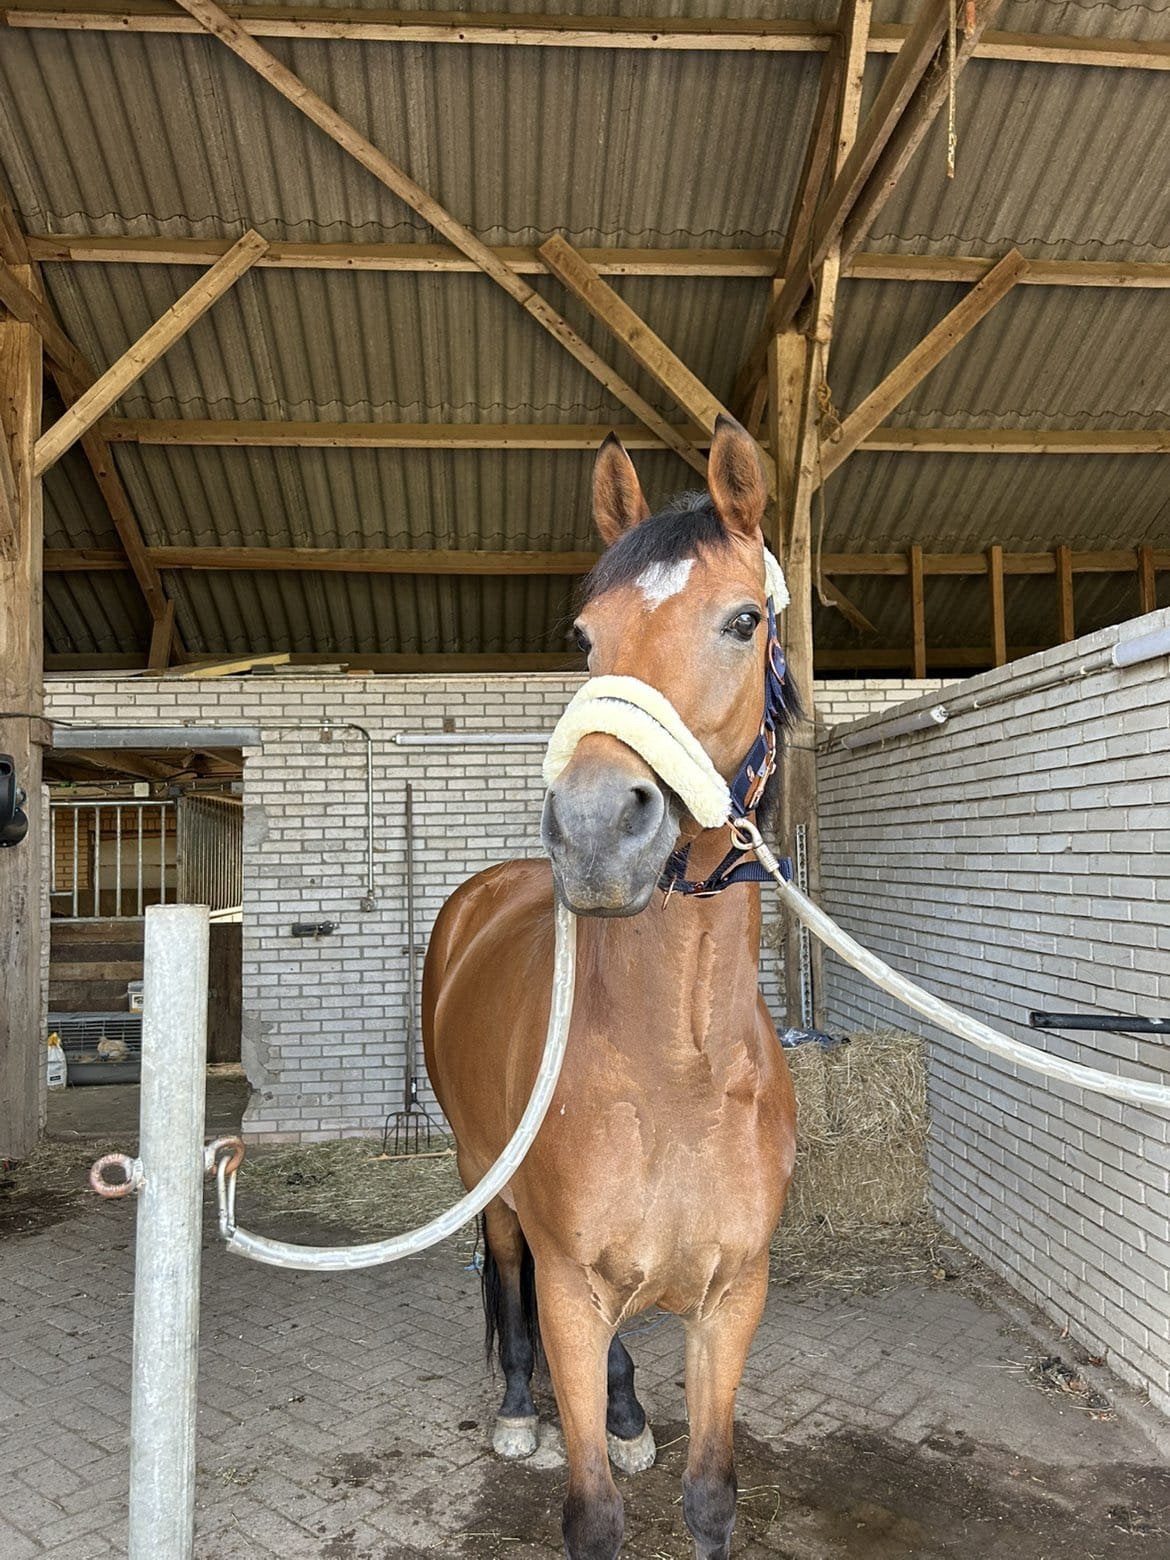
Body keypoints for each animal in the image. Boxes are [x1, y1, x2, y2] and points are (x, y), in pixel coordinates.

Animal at [422, 415, 798, 1560]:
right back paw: (517, 1410)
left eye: (743, 621)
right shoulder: (572, 1294)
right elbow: (591, 1515)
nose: (591, 829)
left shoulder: (734, 1299)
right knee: (506, 1270)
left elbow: (711, 1494)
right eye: (587, 639)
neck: (678, 1065)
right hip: (486, 1176)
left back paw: (630, 1417)